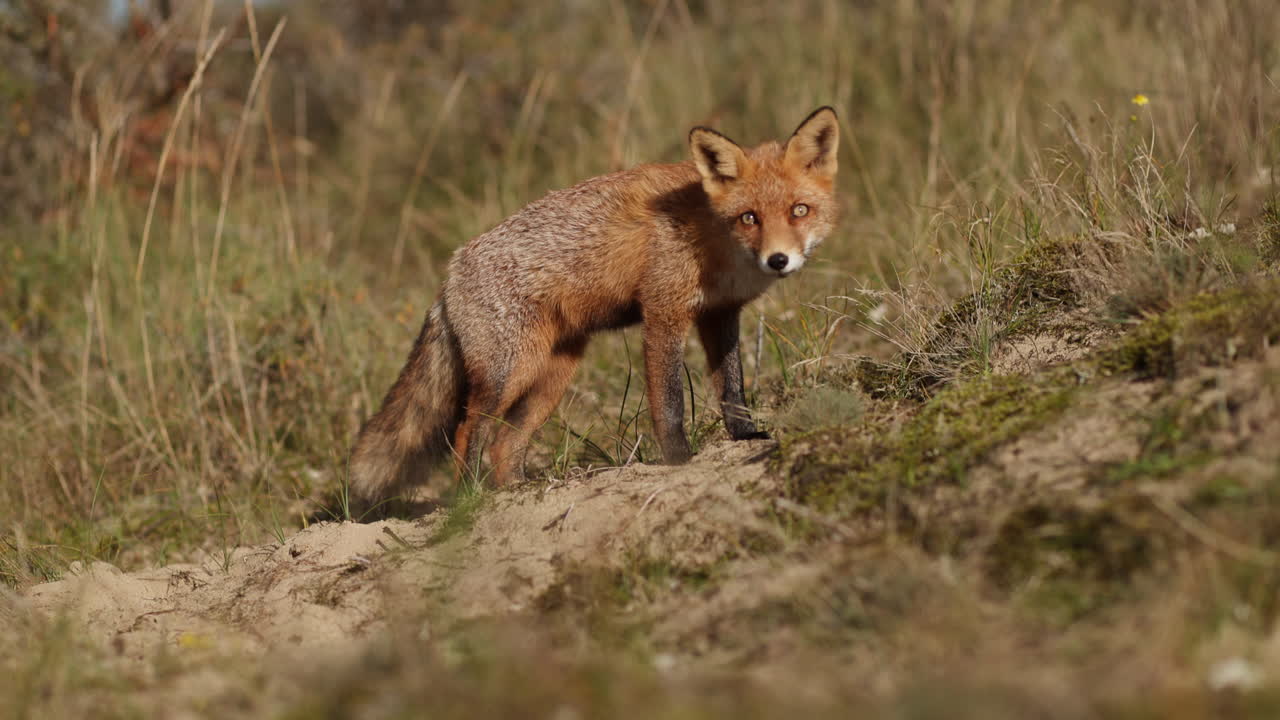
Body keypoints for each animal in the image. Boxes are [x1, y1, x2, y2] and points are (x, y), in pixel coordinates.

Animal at [348, 106, 839, 513]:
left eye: (799, 210)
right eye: (749, 217)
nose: (778, 260)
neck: (714, 241)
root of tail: (449, 274)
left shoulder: (720, 315)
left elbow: (732, 389)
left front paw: (745, 437)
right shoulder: (663, 314)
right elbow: (670, 401)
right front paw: (679, 459)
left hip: (552, 377)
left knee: (505, 443)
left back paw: (517, 492)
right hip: (510, 371)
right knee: (468, 432)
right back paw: (469, 500)